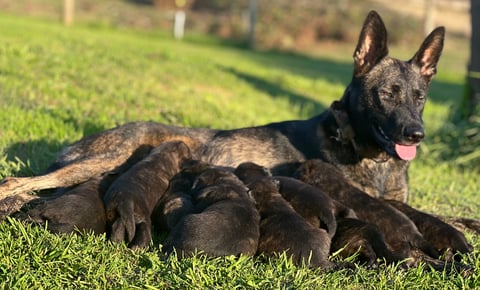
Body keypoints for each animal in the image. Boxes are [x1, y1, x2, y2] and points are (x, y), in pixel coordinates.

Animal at [0, 11, 474, 249]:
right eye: (387, 94)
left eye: (420, 96)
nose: (415, 134)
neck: (369, 155)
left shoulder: (401, 203)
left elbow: (455, 217)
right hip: (105, 159)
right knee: (16, 181)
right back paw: (14, 201)